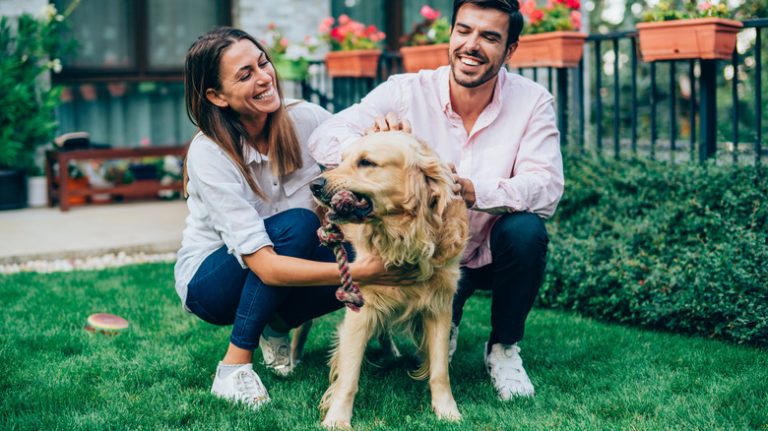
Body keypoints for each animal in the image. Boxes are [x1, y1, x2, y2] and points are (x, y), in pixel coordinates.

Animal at [308, 132, 468, 428]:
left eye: (366, 162)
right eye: (342, 160)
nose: (314, 185)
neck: (404, 238)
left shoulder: (440, 305)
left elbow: (440, 370)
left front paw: (447, 411)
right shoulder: (361, 307)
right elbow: (349, 376)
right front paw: (337, 419)